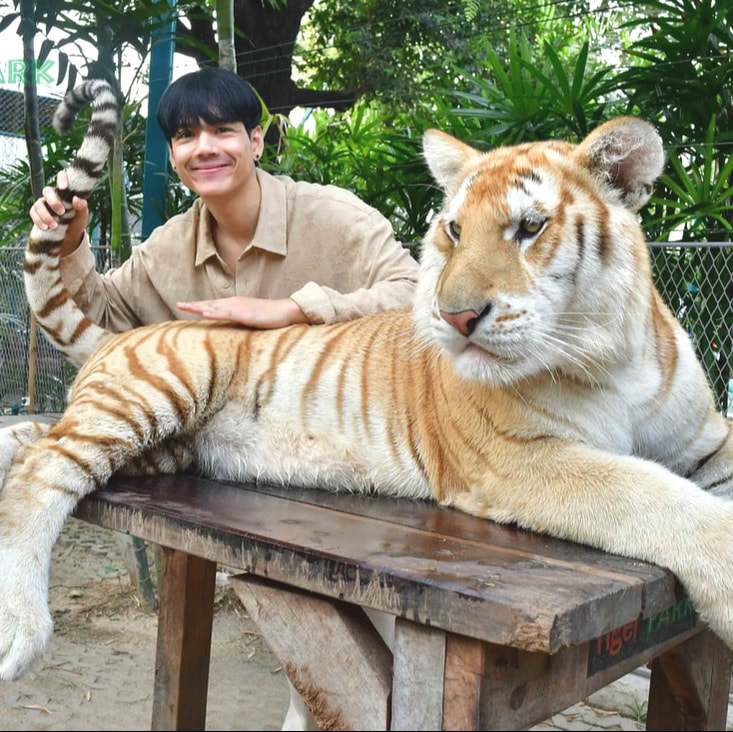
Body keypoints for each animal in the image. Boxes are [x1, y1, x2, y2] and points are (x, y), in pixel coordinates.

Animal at [0, 79, 731, 683]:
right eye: (454, 229)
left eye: (529, 227)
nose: (454, 315)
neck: (611, 354)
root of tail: (120, 334)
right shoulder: (519, 459)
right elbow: (646, 494)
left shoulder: (705, 440)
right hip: (156, 391)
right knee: (43, 471)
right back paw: (19, 629)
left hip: (157, 443)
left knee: (30, 438)